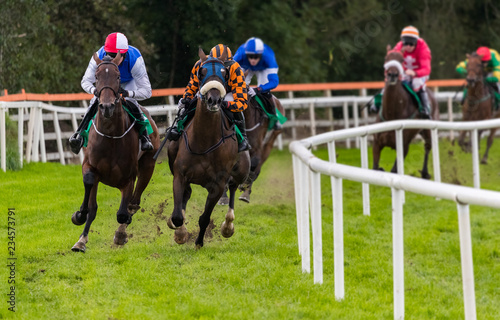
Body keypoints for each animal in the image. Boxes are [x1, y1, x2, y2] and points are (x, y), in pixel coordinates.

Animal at [70, 53, 159, 252]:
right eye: (96, 77)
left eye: (118, 77)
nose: (107, 106)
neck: (110, 136)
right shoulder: (90, 167)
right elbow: (91, 205)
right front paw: (80, 232)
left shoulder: (129, 178)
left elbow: (123, 212)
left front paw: (121, 231)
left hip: (147, 167)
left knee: (133, 203)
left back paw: (121, 233)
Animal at [166, 47, 250, 248]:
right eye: (201, 72)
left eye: (224, 73)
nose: (214, 100)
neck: (204, 141)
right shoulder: (180, 175)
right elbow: (178, 215)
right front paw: (180, 233)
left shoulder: (218, 184)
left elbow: (204, 217)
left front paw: (198, 242)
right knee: (187, 195)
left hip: (240, 171)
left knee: (233, 189)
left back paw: (228, 226)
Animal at [372, 46, 438, 179]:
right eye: (386, 58)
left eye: (401, 60)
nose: (392, 74)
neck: (391, 115)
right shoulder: (376, 143)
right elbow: (375, 167)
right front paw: (380, 169)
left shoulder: (404, 146)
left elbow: (394, 170)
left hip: (428, 129)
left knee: (428, 147)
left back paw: (425, 172)